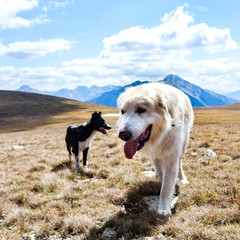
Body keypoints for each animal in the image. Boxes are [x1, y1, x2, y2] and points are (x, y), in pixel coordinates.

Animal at [117, 82, 194, 216]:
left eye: (141, 110)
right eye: (123, 111)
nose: (122, 135)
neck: (161, 133)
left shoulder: (172, 156)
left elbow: (166, 185)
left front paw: (163, 208)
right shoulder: (156, 155)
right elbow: (163, 178)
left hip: (183, 145)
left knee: (180, 162)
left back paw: (182, 178)